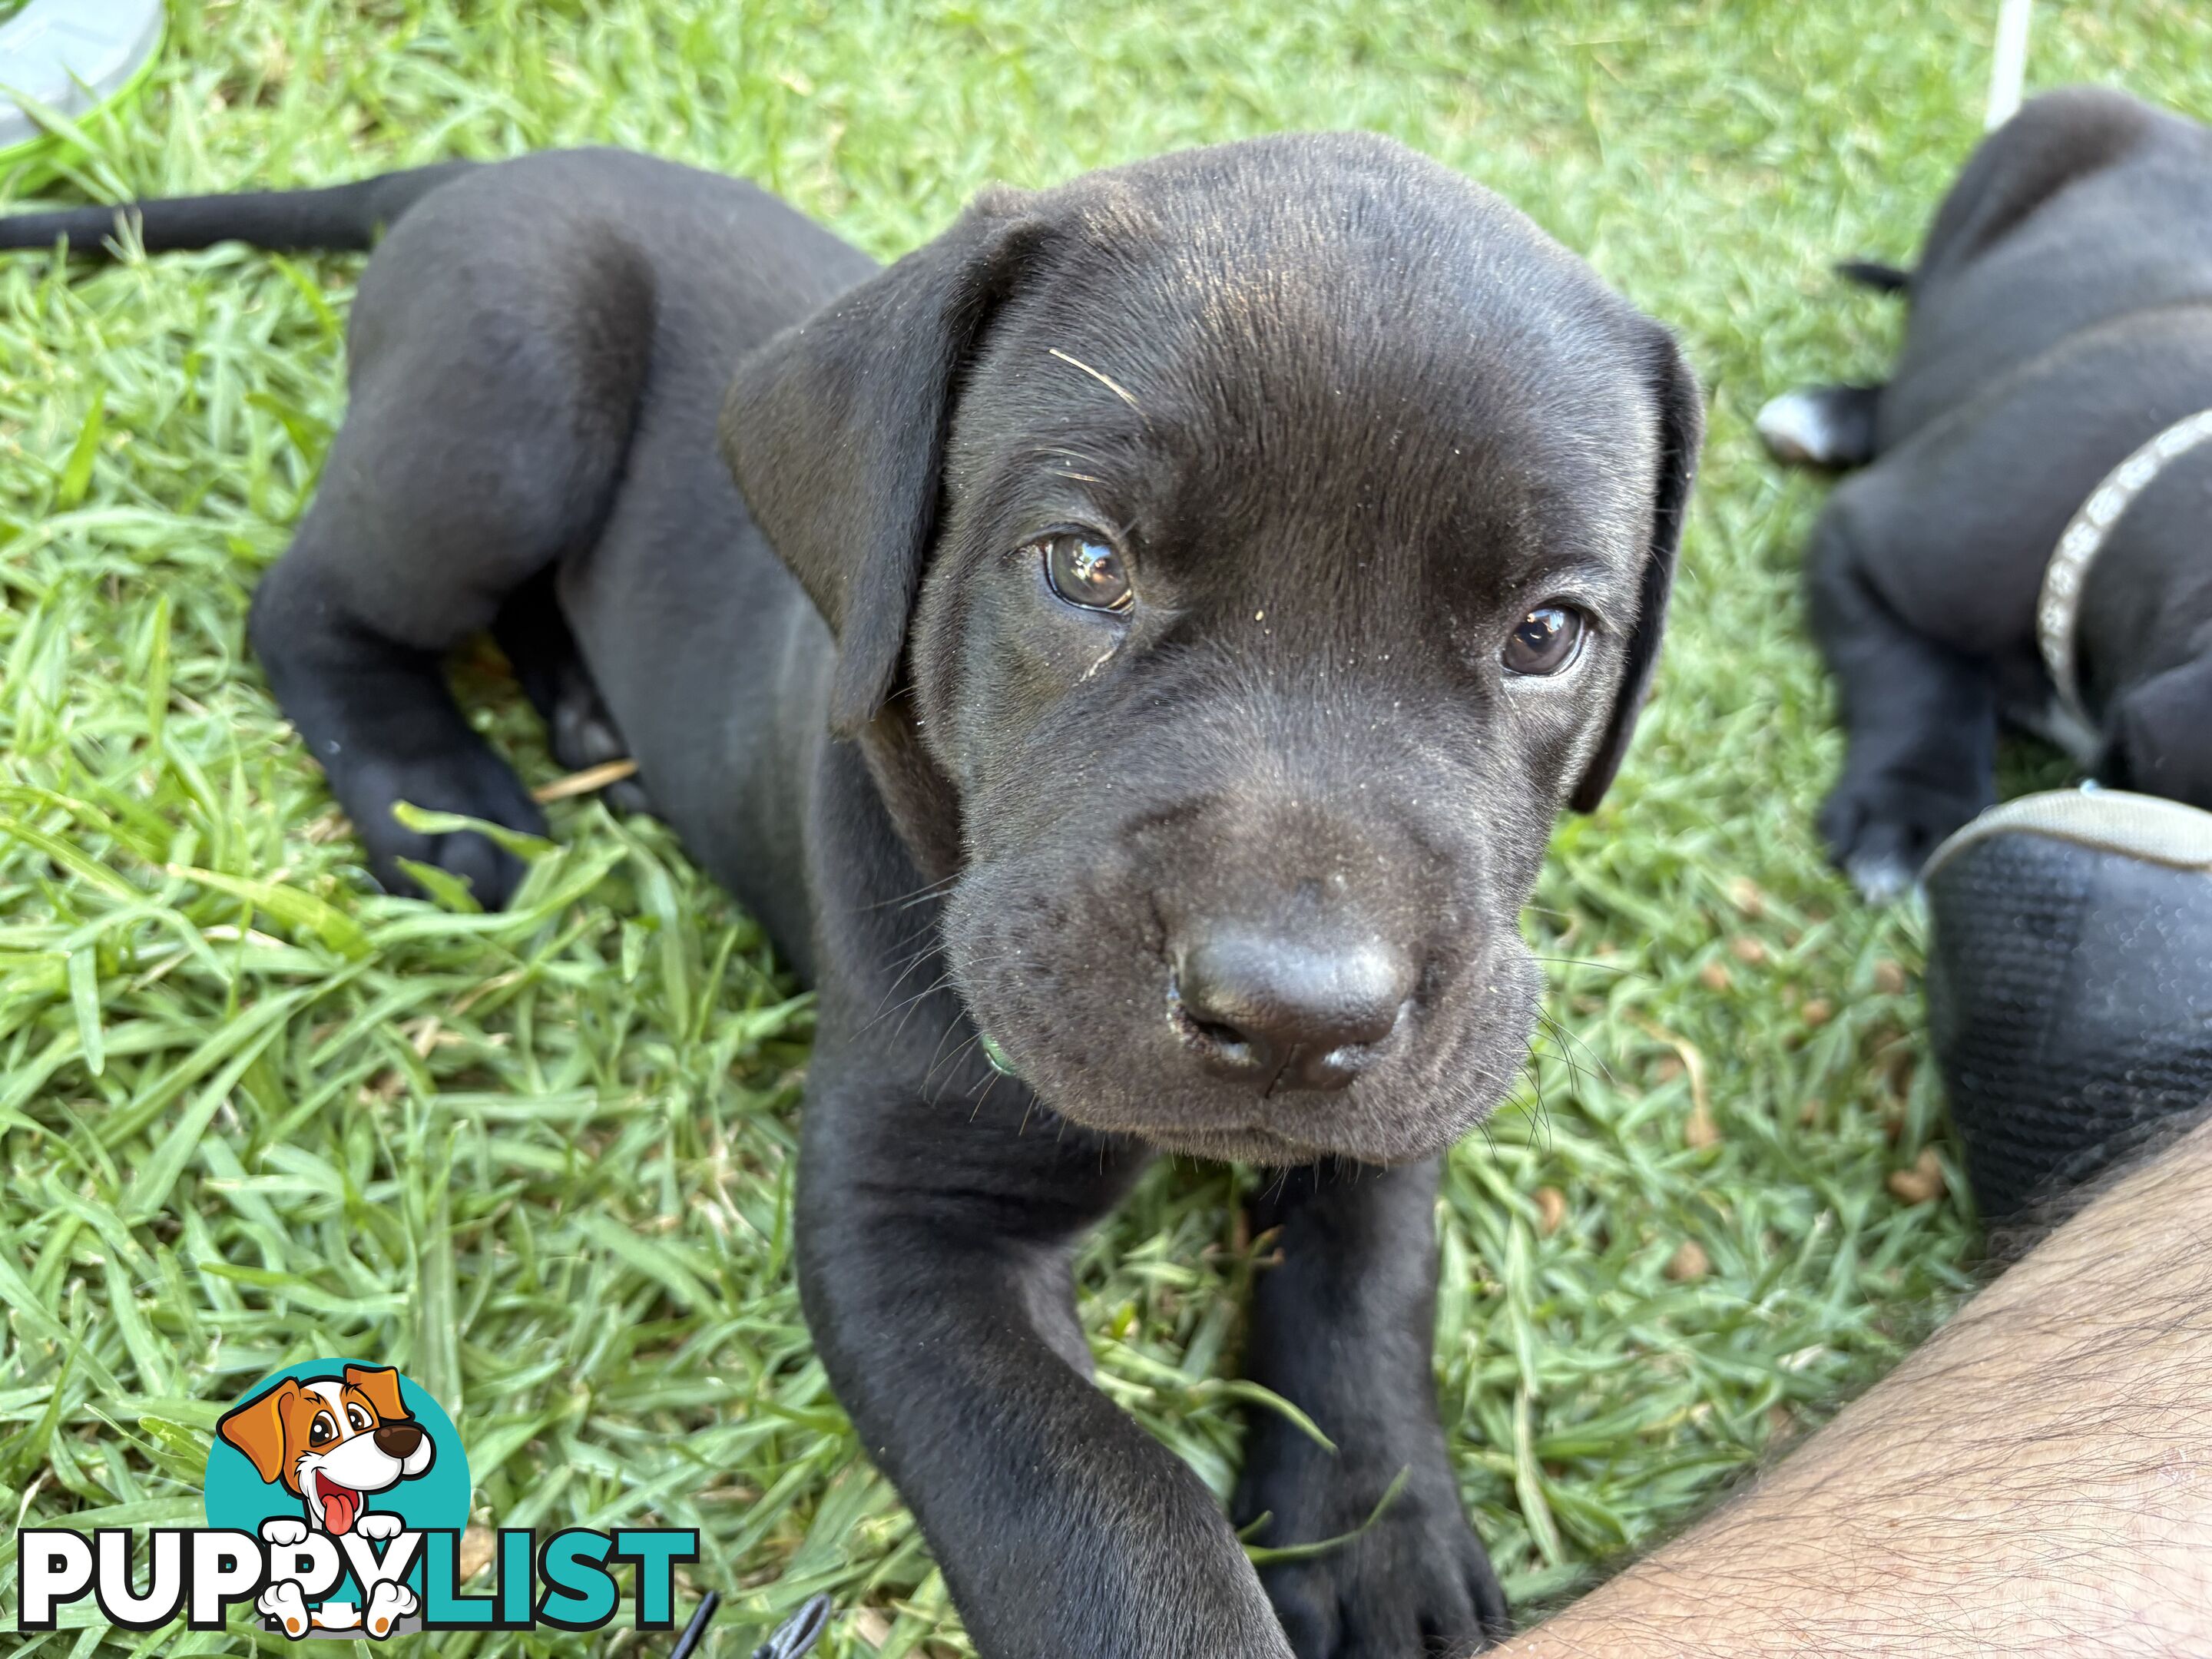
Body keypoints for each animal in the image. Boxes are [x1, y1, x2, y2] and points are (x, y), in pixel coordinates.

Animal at [0, 146, 1698, 1659]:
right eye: (1085, 565)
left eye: (1548, 633)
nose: (1294, 1013)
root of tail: (479, 170)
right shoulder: (900, 1233)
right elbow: (1101, 1504)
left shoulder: (1424, 1070)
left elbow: (1370, 1271)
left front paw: (1376, 1534)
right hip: (508, 391)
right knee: (309, 606)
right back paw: (447, 810)